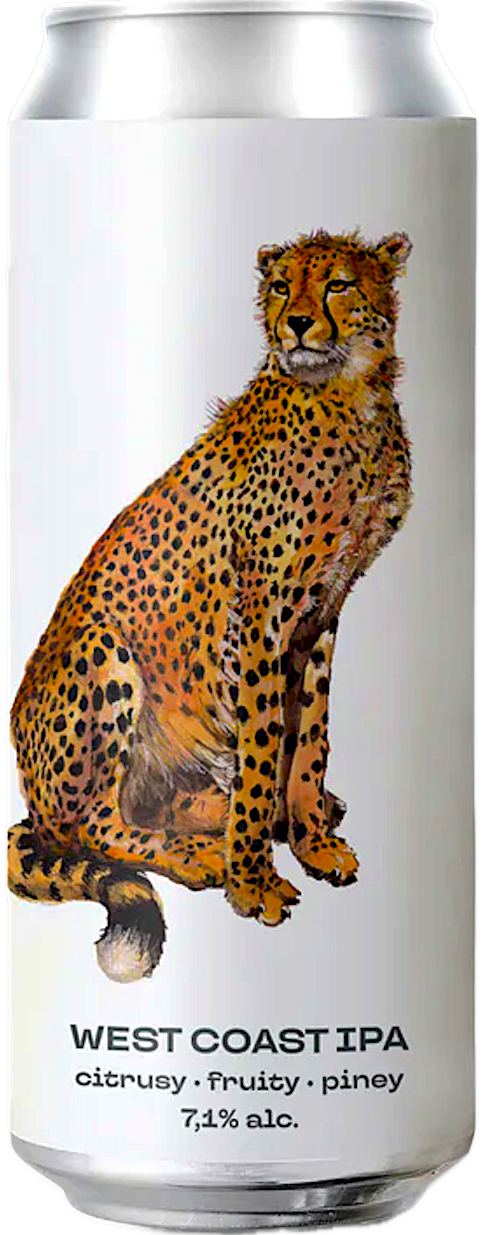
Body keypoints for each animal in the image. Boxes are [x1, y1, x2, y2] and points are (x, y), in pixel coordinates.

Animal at [8, 229, 412, 983]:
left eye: (338, 283)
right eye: (282, 286)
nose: (297, 323)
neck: (347, 396)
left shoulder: (321, 612)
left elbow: (307, 737)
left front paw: (310, 839)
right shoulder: (257, 618)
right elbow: (262, 745)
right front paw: (253, 880)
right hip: (100, 649)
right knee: (89, 826)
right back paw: (202, 855)